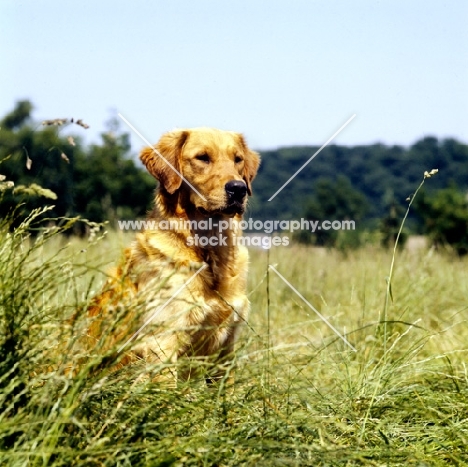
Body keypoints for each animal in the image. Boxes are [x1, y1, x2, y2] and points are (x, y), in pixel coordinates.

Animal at [86, 127, 262, 384]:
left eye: (237, 159)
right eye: (202, 157)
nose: (238, 188)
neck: (209, 251)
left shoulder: (225, 349)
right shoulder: (163, 343)